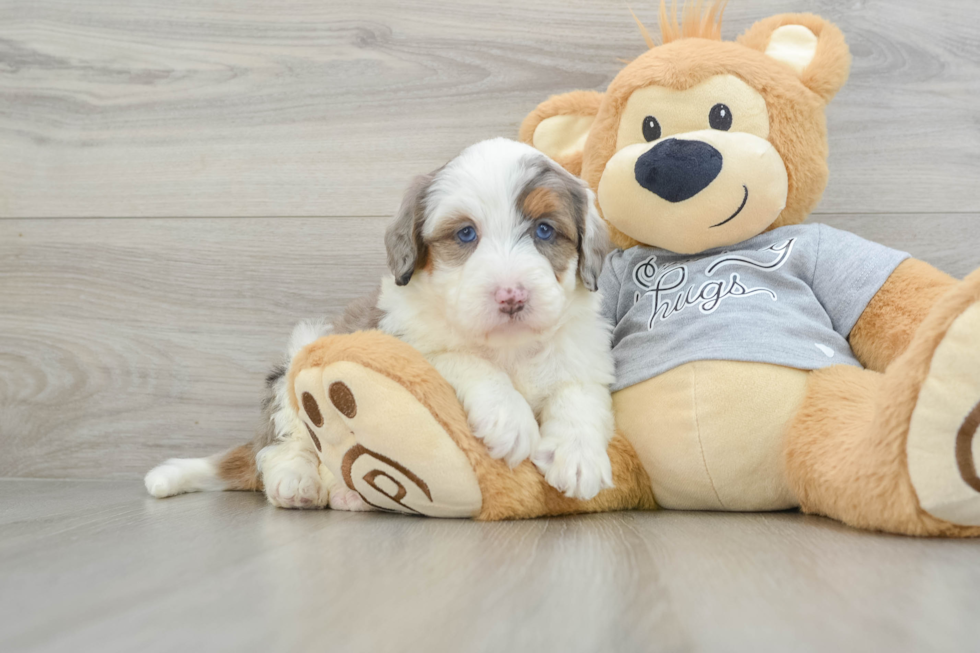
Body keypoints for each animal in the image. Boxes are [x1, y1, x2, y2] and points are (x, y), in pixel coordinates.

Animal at [147, 136, 612, 504]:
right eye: (465, 234)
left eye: (545, 230)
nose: (511, 296)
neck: (508, 346)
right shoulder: (404, 342)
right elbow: (463, 359)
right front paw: (510, 418)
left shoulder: (582, 353)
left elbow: (578, 393)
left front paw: (578, 457)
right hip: (298, 361)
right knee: (280, 445)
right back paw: (297, 482)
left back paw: (348, 496)